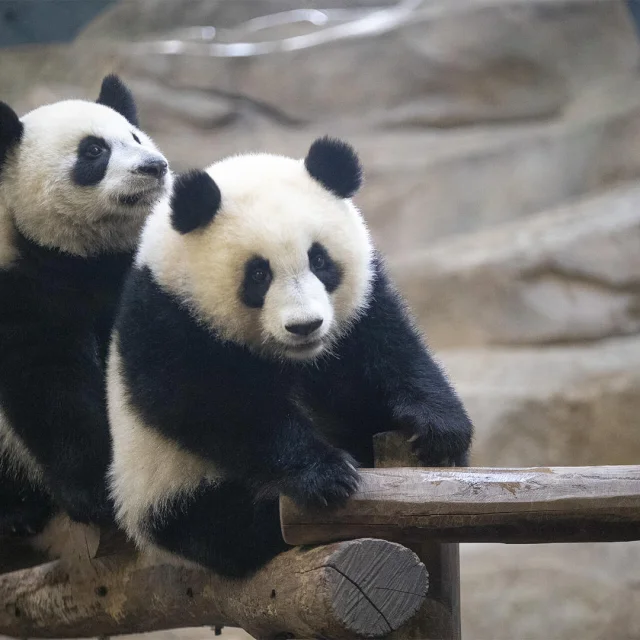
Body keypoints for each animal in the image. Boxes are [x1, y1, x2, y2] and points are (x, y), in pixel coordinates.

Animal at [0, 74, 172, 536]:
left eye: (135, 136)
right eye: (93, 150)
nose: (154, 166)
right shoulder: (22, 289)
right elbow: (51, 384)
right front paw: (95, 494)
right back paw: (18, 513)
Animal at [107, 138, 472, 576]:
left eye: (320, 260)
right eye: (258, 274)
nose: (305, 326)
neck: (294, 358)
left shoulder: (361, 307)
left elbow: (391, 350)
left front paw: (440, 431)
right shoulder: (168, 316)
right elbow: (211, 404)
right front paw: (325, 475)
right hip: (167, 489)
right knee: (225, 525)